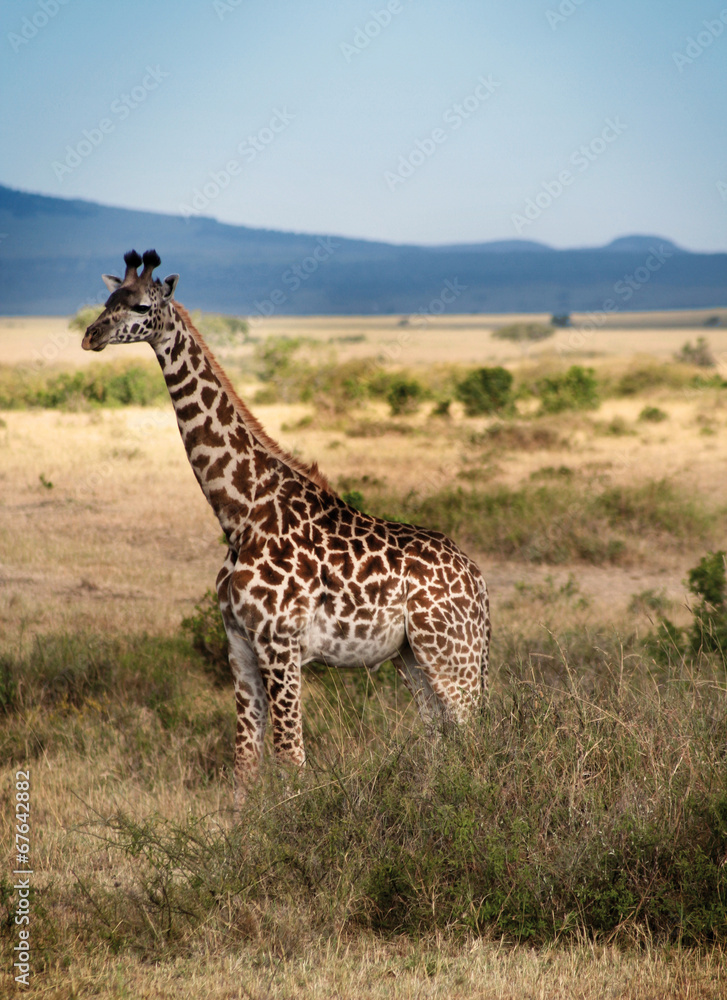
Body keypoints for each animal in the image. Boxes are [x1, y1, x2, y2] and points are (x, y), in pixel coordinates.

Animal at [82, 250, 491, 805]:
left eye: (141, 305)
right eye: (108, 300)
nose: (91, 335)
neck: (238, 514)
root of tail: (478, 581)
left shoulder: (280, 644)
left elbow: (291, 761)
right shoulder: (238, 643)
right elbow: (243, 764)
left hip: (450, 651)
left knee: (473, 732)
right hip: (411, 656)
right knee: (438, 732)